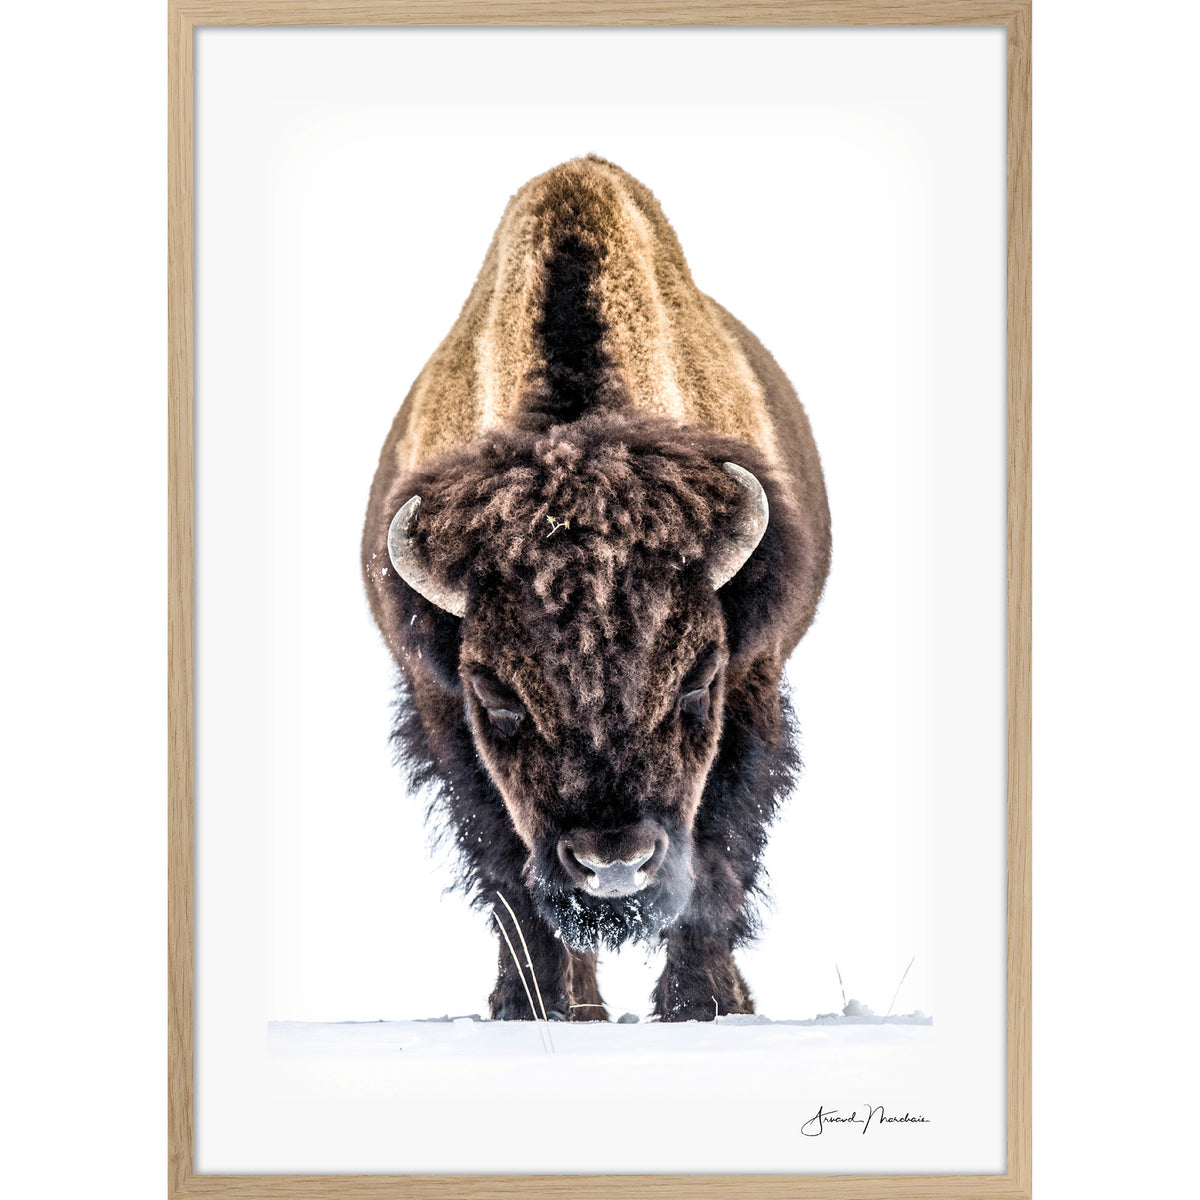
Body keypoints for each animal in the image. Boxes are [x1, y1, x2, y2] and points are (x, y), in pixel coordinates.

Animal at [362, 156, 830, 1022]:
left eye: (698, 680)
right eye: (497, 693)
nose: (613, 862)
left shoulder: (754, 681)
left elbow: (718, 852)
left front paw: (702, 1004)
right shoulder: (440, 708)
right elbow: (507, 871)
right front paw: (536, 1007)